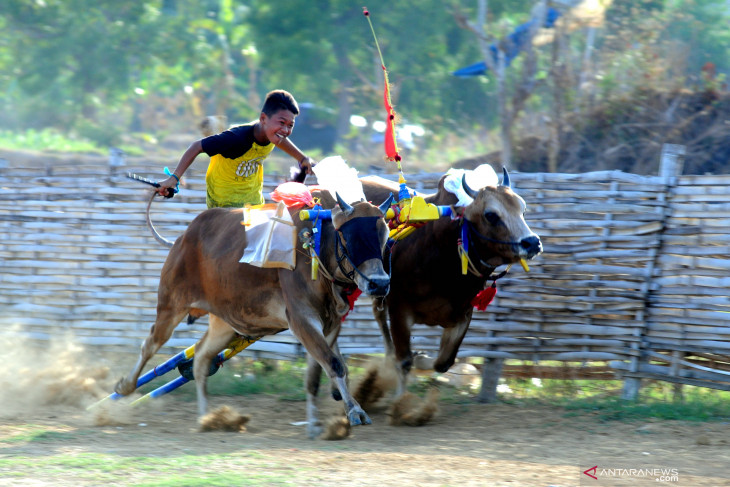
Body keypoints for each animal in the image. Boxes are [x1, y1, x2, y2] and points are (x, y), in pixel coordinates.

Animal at [115, 190, 392, 438]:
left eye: (384, 236)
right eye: (349, 237)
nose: (379, 283)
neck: (315, 248)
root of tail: (182, 238)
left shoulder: (330, 324)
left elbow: (321, 371)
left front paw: (319, 422)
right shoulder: (302, 319)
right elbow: (333, 363)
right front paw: (353, 411)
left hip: (225, 323)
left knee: (201, 357)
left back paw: (206, 418)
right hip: (171, 304)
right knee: (151, 344)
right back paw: (126, 385)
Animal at [360, 168, 540, 396]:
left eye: (522, 209)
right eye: (491, 215)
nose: (532, 242)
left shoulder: (461, 315)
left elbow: (443, 362)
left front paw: (422, 358)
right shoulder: (399, 310)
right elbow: (405, 362)